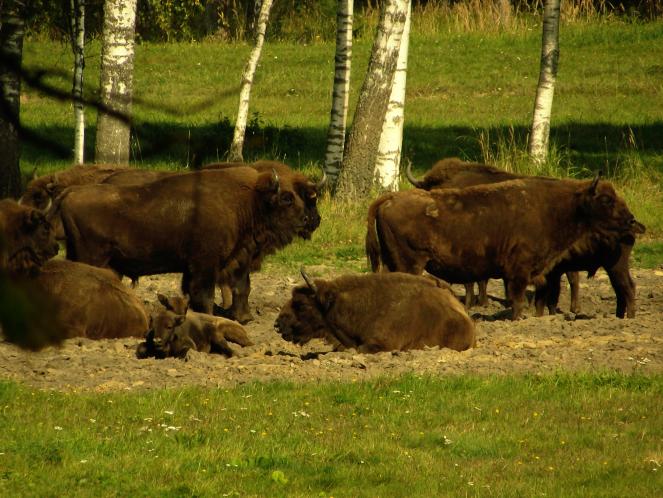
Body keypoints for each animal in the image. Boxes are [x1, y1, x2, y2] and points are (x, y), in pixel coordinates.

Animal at [368, 176, 644, 320]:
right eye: (606, 199)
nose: (631, 220)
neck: (556, 207)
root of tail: (389, 198)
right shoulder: (519, 271)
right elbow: (518, 298)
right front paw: (518, 318)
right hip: (410, 264)